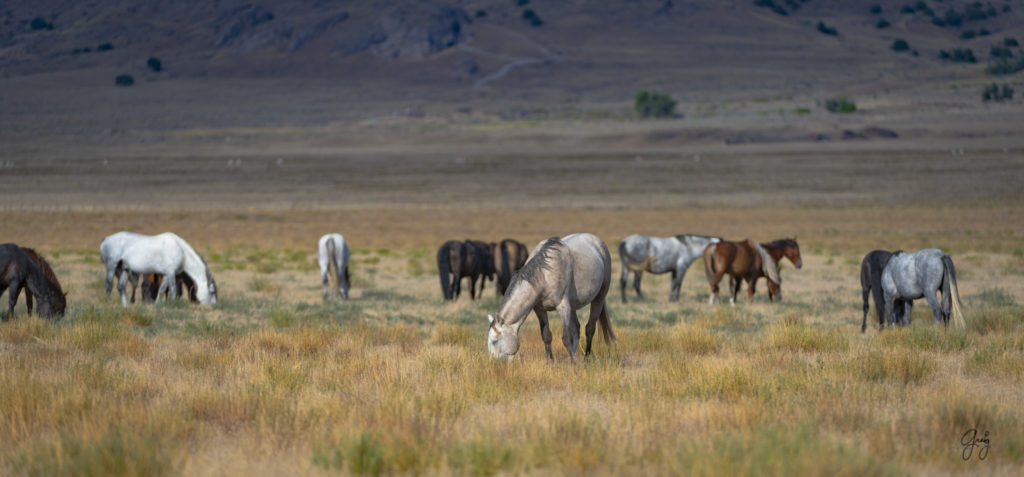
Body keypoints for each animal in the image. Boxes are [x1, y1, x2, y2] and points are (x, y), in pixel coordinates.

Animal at [487, 233, 614, 362]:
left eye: (495, 341)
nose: (494, 364)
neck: (544, 275)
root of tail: (596, 240)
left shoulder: (563, 307)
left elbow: (566, 337)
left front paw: (574, 364)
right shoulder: (540, 310)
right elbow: (546, 335)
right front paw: (550, 362)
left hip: (599, 297)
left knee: (590, 328)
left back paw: (585, 358)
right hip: (573, 306)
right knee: (576, 329)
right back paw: (573, 356)